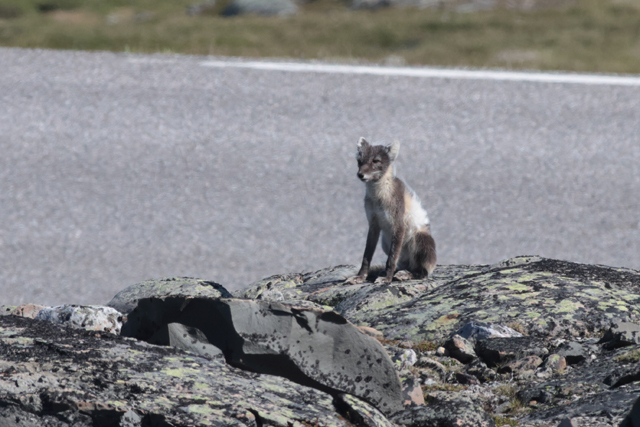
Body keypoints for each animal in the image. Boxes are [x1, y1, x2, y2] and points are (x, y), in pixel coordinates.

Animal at [348, 138, 438, 284]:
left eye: (376, 161)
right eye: (359, 161)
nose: (360, 174)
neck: (378, 198)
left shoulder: (398, 224)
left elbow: (391, 259)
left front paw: (387, 279)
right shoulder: (373, 224)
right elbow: (366, 256)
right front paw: (360, 277)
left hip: (419, 239)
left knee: (422, 273)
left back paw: (406, 274)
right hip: (385, 243)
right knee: (402, 265)